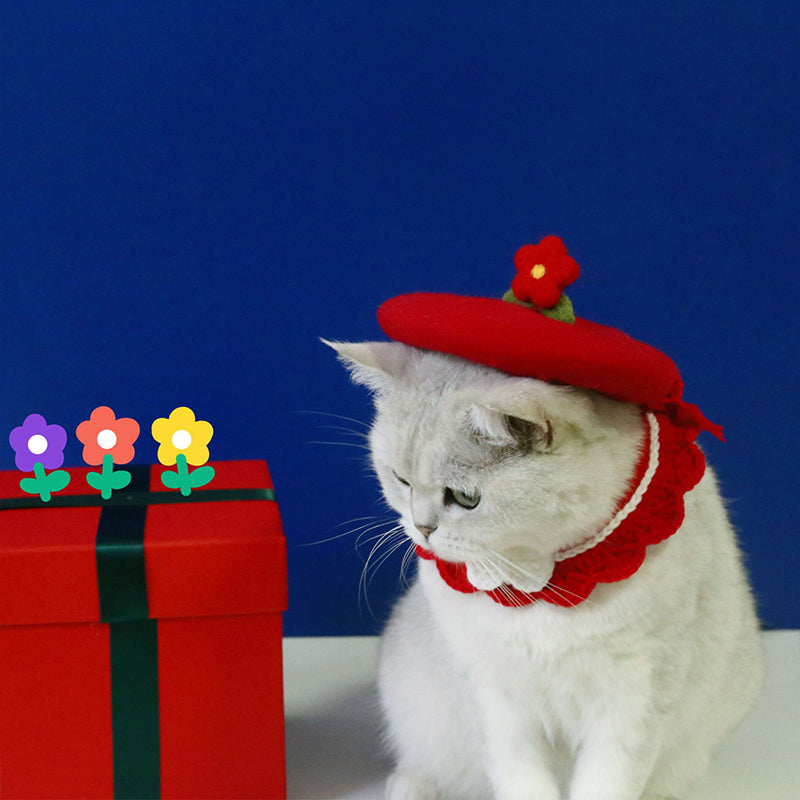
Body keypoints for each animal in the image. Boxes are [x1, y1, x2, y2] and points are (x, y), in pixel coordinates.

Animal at [332, 340, 764, 800]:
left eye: (465, 498)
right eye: (401, 481)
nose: (422, 528)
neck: (542, 582)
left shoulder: (633, 700)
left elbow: (608, 782)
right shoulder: (496, 701)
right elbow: (520, 780)